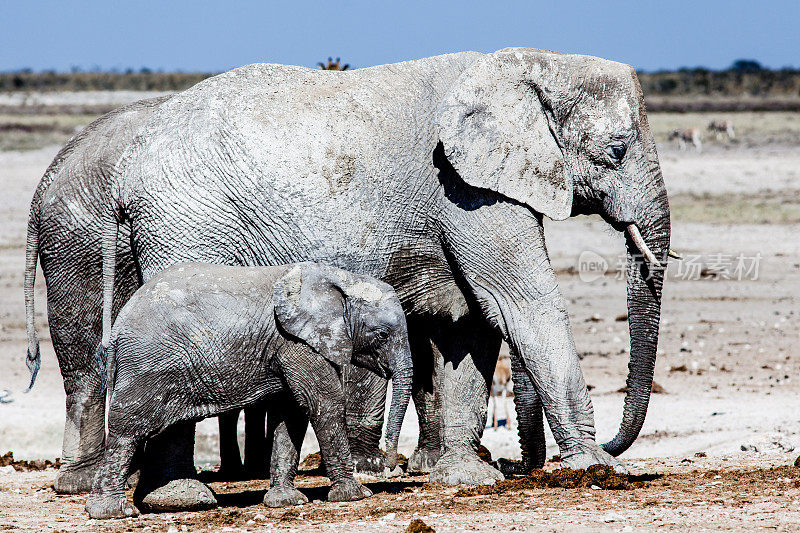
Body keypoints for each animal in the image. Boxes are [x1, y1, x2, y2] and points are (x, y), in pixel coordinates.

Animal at [86, 260, 412, 516]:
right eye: (382, 335)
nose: (393, 468)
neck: (341, 279)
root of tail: (115, 331)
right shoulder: (298, 343)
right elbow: (323, 404)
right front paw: (354, 494)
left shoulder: (286, 345)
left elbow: (291, 414)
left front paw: (286, 502)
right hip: (147, 365)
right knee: (128, 430)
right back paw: (114, 512)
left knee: (165, 429)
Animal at [100, 46, 672, 498]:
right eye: (617, 151)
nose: (518, 468)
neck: (534, 64)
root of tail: (126, 171)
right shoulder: (468, 189)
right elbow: (521, 304)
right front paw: (597, 470)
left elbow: (473, 323)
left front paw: (466, 479)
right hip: (186, 223)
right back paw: (181, 498)